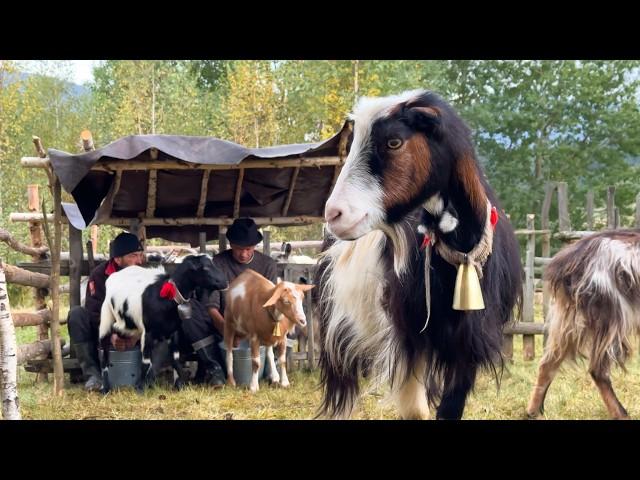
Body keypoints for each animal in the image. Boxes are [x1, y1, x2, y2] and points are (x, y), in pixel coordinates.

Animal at [318, 90, 524, 420]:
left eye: (394, 142)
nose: (335, 214)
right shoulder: (409, 336)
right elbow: (415, 409)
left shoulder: (468, 343)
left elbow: (450, 405)